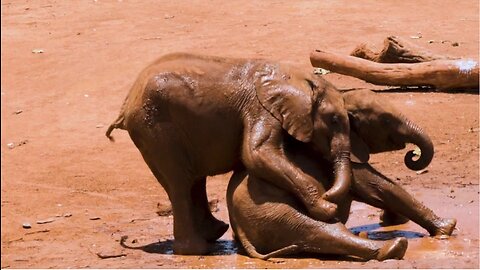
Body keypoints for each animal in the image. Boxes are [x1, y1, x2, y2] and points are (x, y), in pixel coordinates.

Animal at [105, 53, 352, 255]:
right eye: (334, 119)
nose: (330, 194)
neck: (296, 76)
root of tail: (126, 104)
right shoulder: (259, 108)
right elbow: (257, 153)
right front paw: (326, 208)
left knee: (191, 180)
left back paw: (214, 233)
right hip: (157, 128)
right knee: (180, 182)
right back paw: (197, 250)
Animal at [227, 89, 456, 260]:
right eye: (386, 121)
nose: (412, 154)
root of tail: (240, 231)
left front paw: (391, 220)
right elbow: (378, 187)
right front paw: (447, 227)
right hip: (267, 208)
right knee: (318, 228)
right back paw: (393, 247)